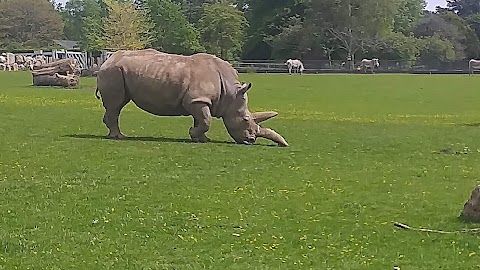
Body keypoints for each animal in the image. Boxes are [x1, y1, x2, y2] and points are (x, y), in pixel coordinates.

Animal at [95, 48, 286, 146]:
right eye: (246, 119)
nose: (251, 140)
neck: (231, 93)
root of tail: (106, 61)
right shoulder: (197, 99)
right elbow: (206, 121)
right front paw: (194, 135)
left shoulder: (200, 101)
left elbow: (201, 120)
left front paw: (201, 139)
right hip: (114, 71)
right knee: (116, 105)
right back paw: (119, 137)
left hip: (119, 72)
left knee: (119, 104)